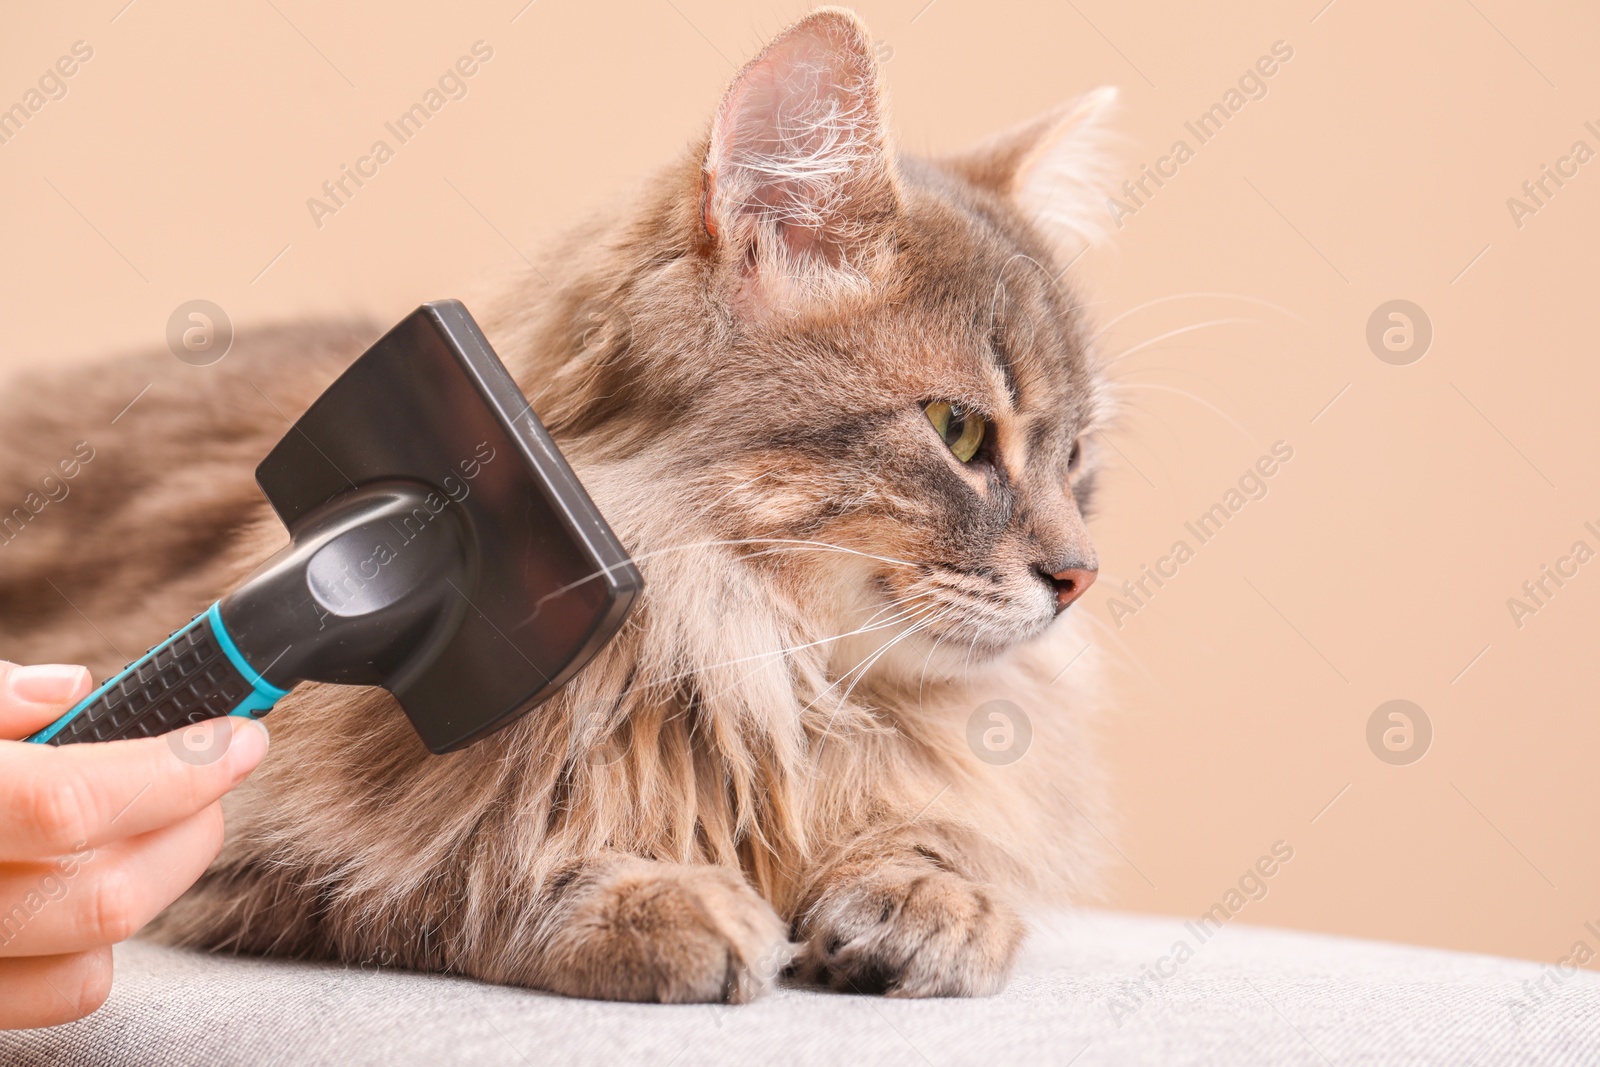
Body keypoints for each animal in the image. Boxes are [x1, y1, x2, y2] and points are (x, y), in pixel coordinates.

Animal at [0, 10, 1120, 1004]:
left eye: (1077, 464)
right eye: (958, 432)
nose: (1077, 576)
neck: (758, 664)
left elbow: (938, 841)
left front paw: (926, 896)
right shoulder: (256, 858)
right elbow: (461, 873)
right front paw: (651, 901)